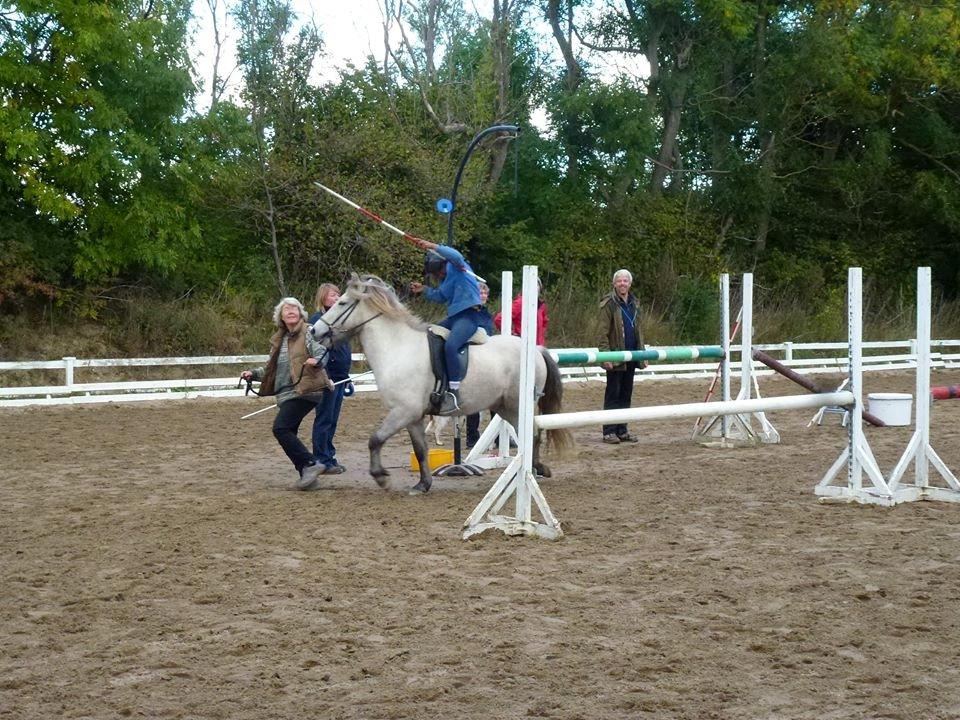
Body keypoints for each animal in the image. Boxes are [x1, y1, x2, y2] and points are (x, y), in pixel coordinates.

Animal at [314, 272, 568, 492]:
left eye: (342, 303)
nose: (315, 331)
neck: (398, 348)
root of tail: (535, 349)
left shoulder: (403, 411)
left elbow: (375, 440)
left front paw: (381, 477)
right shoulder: (413, 416)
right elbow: (420, 449)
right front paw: (422, 484)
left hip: (517, 405)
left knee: (532, 433)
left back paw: (534, 470)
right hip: (504, 407)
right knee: (531, 432)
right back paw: (534, 469)